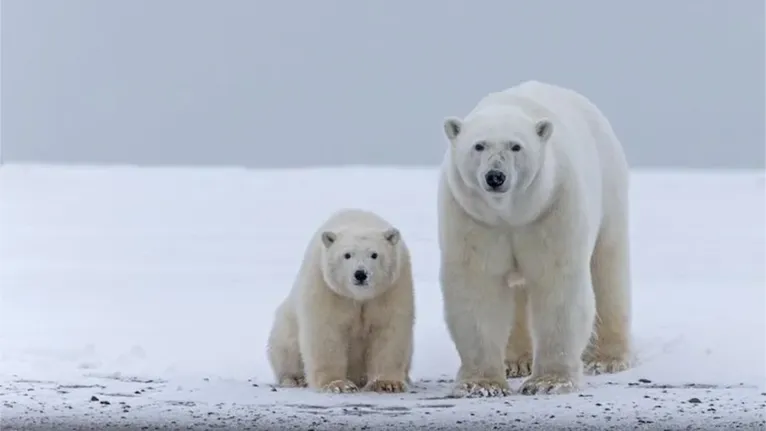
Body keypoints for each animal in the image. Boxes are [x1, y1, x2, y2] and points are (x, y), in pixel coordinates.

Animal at [268, 209, 416, 394]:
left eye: (374, 254)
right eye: (347, 255)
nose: (360, 274)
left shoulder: (392, 288)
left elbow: (389, 328)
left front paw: (387, 383)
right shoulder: (326, 287)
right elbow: (326, 330)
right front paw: (338, 384)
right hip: (286, 324)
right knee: (286, 346)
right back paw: (295, 378)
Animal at [440, 79, 632, 396]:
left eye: (516, 146)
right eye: (479, 145)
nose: (495, 176)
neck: (511, 214)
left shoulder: (552, 206)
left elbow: (558, 285)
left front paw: (549, 381)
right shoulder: (473, 219)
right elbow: (477, 287)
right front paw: (481, 384)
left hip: (610, 187)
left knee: (607, 268)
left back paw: (607, 359)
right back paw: (516, 361)